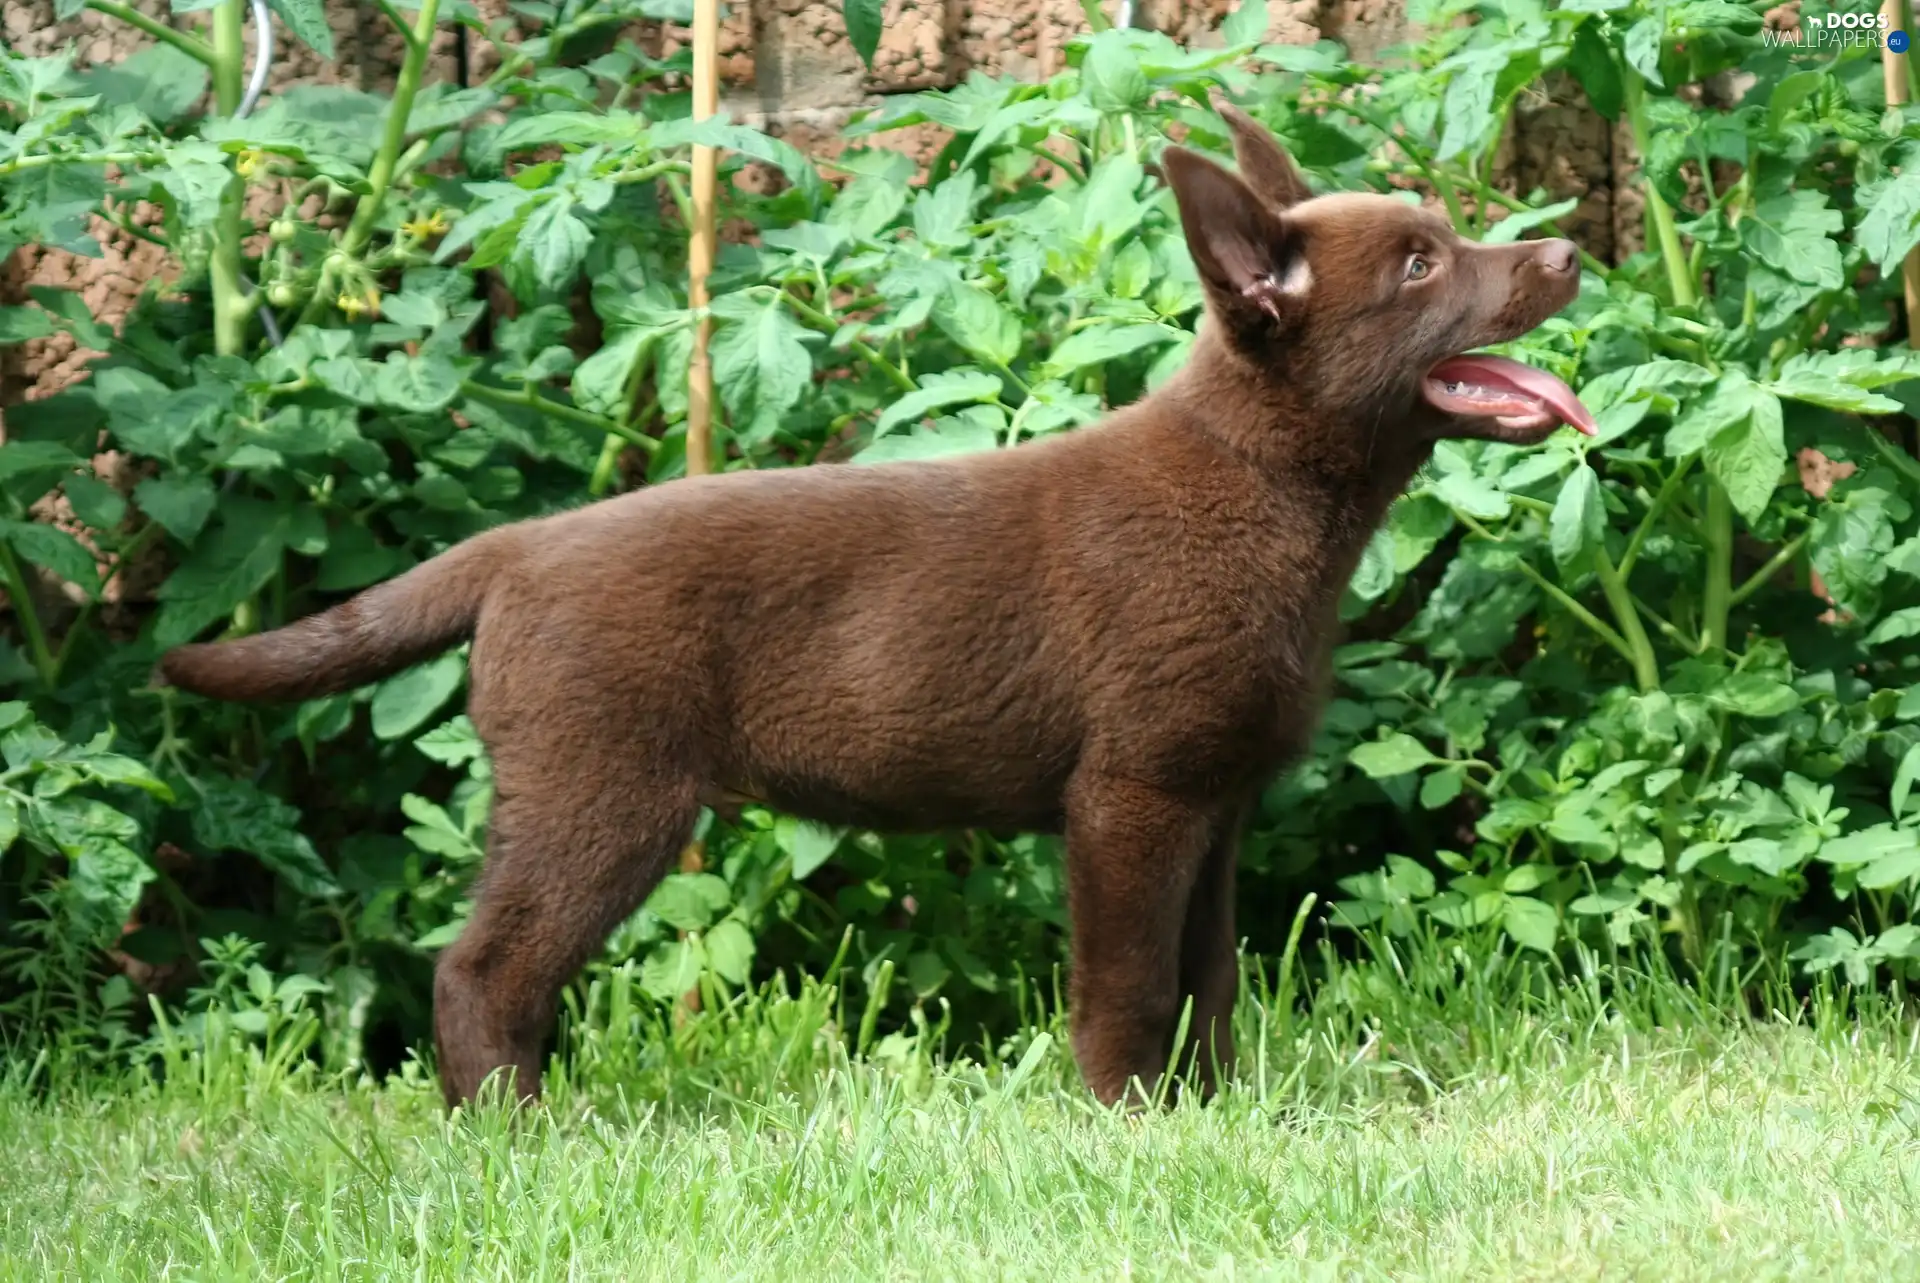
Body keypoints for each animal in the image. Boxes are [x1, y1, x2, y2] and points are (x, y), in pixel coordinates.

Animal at [157, 107, 1589, 1113]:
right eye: (1422, 264)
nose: (1569, 250)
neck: (1262, 487)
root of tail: (514, 549)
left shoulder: (1214, 804)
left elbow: (1211, 981)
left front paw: (1222, 1114)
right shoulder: (1130, 798)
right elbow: (1129, 984)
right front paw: (1129, 1121)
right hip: (600, 794)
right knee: (481, 971)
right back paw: (518, 1131)